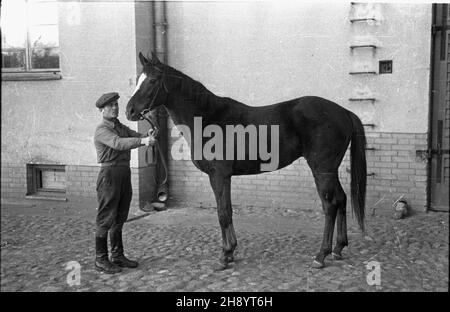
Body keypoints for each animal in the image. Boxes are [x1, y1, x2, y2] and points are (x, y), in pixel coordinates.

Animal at [126, 52, 366, 270]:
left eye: (152, 81)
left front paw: (224, 256)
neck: (208, 118)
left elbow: (223, 213)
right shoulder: (223, 177)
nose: (129, 111)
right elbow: (227, 210)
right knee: (342, 199)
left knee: (330, 205)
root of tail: (344, 112)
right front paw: (231, 251)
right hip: (330, 170)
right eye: (137, 79)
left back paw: (321, 255)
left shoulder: (219, 175)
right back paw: (338, 248)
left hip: (321, 169)